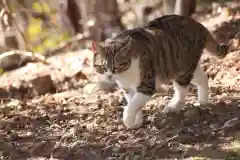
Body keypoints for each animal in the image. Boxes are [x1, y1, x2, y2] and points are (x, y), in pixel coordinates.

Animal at [90, 15, 229, 129]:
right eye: (102, 67)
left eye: (116, 67)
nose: (109, 76)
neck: (125, 75)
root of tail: (197, 24)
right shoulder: (128, 89)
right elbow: (133, 103)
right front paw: (137, 121)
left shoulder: (146, 85)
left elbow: (133, 104)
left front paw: (128, 120)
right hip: (182, 66)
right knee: (203, 77)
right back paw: (203, 101)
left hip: (182, 69)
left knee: (182, 89)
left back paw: (173, 106)